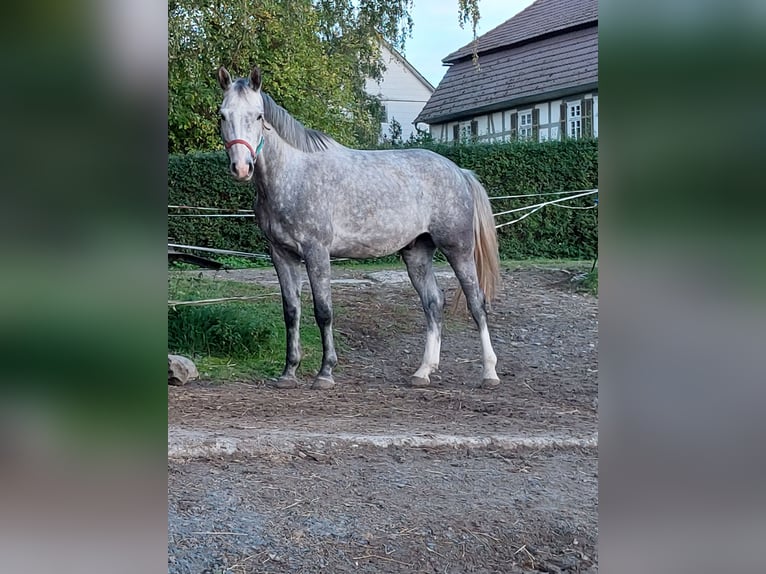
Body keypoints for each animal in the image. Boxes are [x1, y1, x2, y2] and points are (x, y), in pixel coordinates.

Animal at [219, 66, 500, 392]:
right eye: (222, 115)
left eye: (258, 116)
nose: (242, 168)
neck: (293, 175)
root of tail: (459, 172)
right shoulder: (281, 255)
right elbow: (291, 312)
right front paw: (288, 372)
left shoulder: (316, 252)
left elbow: (323, 311)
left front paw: (325, 373)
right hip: (417, 253)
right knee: (433, 303)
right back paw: (423, 372)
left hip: (459, 250)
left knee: (477, 303)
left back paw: (489, 373)